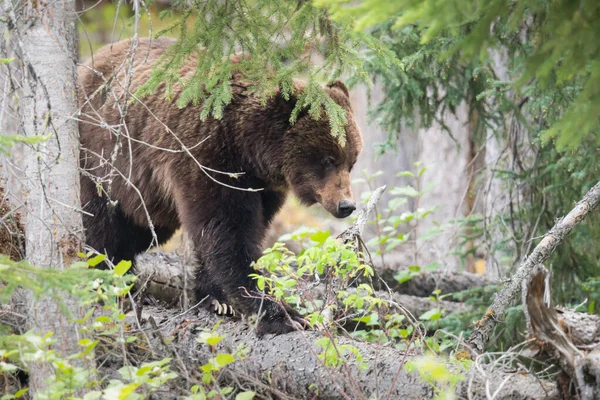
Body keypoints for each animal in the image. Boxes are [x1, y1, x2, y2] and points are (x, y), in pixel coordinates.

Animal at [78, 37, 364, 336]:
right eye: (329, 159)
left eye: (351, 161)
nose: (346, 205)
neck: (249, 147)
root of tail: (87, 64)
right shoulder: (209, 157)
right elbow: (227, 232)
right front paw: (284, 315)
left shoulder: (262, 187)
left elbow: (237, 232)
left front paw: (217, 299)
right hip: (101, 158)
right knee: (102, 224)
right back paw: (109, 281)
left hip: (146, 195)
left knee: (137, 228)